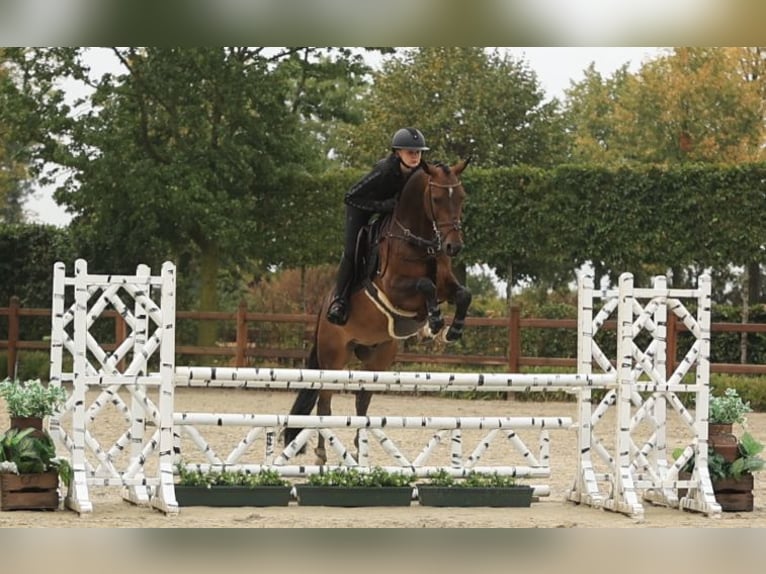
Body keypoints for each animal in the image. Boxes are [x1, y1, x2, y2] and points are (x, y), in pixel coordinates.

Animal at [284, 158, 472, 464]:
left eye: (462, 197)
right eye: (436, 199)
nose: (453, 246)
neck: (419, 240)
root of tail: (322, 310)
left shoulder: (446, 283)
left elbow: (463, 294)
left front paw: (450, 331)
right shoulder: (396, 290)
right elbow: (426, 286)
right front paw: (433, 323)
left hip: (379, 354)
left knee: (362, 401)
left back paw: (359, 449)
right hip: (334, 355)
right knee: (324, 402)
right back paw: (322, 453)